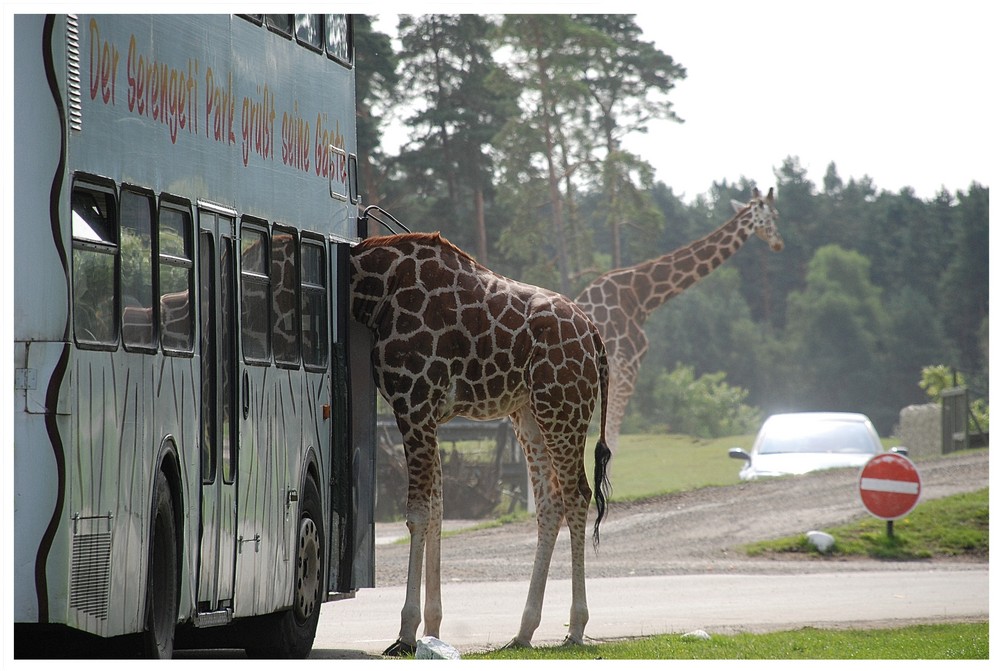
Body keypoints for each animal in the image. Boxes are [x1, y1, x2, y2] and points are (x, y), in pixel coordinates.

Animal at [352, 232, 616, 656]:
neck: (372, 290)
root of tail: (595, 335)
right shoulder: (429, 415)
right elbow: (437, 510)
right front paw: (433, 629)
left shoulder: (412, 404)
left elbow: (418, 514)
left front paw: (406, 634)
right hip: (529, 414)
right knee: (550, 502)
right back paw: (524, 631)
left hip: (563, 407)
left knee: (577, 494)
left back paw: (575, 628)